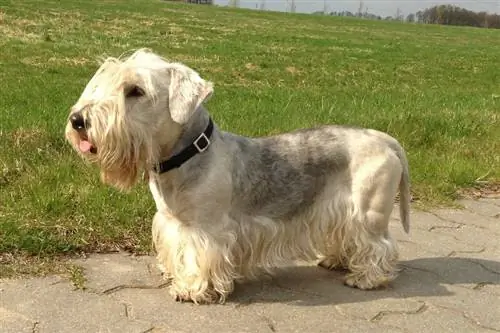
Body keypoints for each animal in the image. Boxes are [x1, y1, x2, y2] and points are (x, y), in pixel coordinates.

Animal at [65, 47, 410, 304]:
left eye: (135, 90)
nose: (77, 120)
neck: (188, 155)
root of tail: (385, 139)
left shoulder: (206, 230)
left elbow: (199, 259)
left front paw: (191, 289)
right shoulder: (171, 222)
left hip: (368, 211)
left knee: (381, 245)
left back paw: (366, 278)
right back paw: (336, 260)